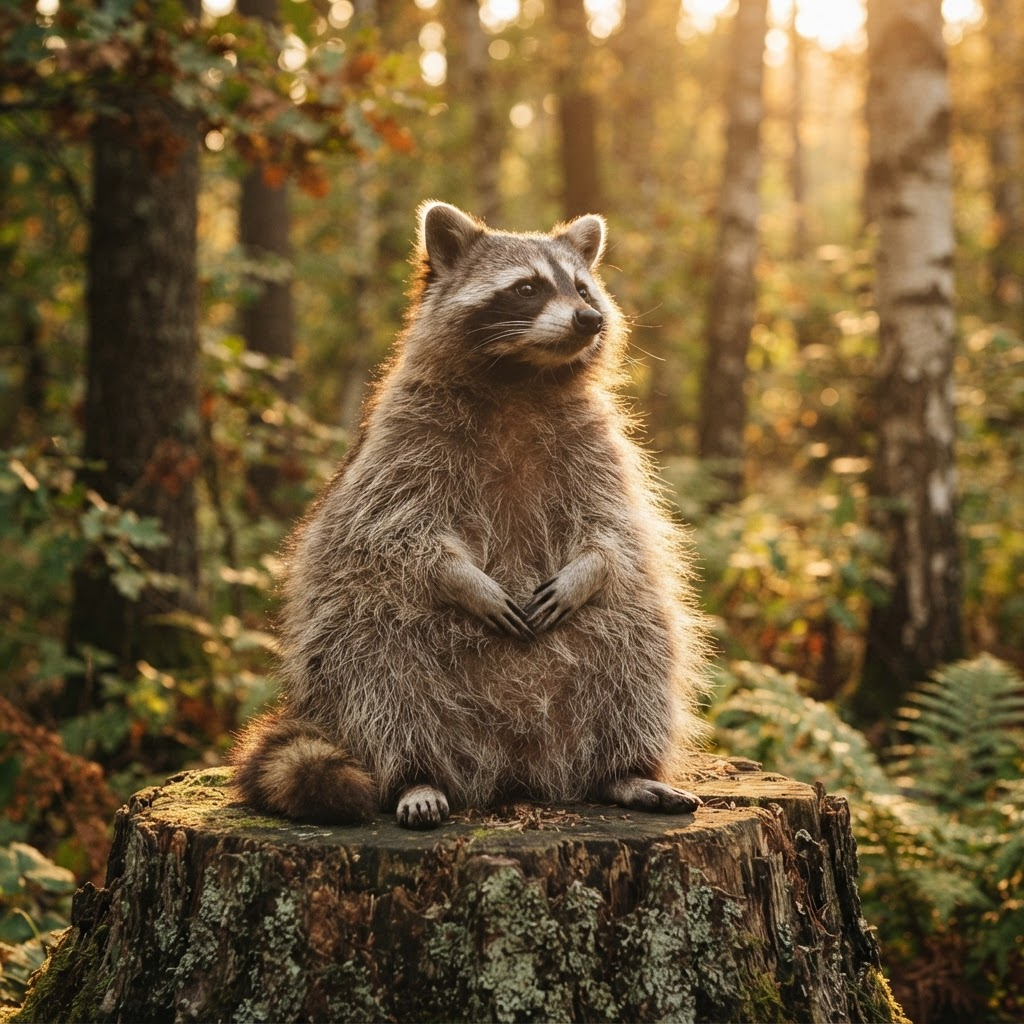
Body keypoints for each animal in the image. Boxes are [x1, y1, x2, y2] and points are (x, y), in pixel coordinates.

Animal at [232, 202, 709, 829]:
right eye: (527, 288)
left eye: (583, 288)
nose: (588, 319)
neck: (522, 377)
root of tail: (515, 767)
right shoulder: (402, 439)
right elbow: (392, 531)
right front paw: (462, 578)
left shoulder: (597, 443)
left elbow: (614, 528)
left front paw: (590, 568)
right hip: (360, 644)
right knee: (378, 669)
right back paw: (415, 775)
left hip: (606, 656)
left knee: (638, 646)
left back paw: (624, 770)